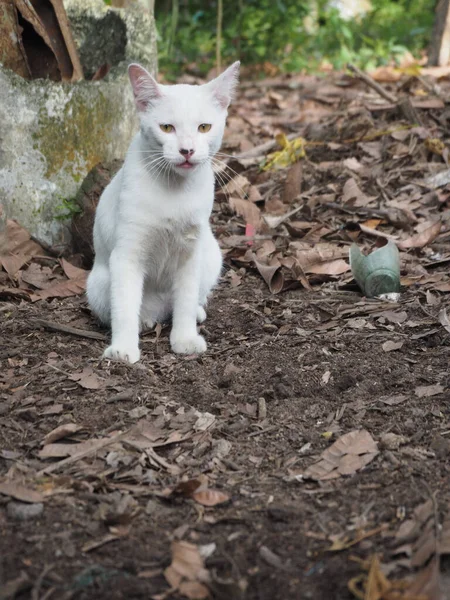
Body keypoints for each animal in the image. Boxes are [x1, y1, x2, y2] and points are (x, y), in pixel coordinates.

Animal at [85, 61, 239, 364]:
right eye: (167, 127)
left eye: (204, 127)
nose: (187, 150)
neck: (174, 190)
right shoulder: (127, 254)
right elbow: (124, 307)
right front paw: (123, 348)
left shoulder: (191, 251)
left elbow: (186, 299)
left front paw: (185, 338)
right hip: (97, 284)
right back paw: (143, 321)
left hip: (211, 255)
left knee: (187, 301)